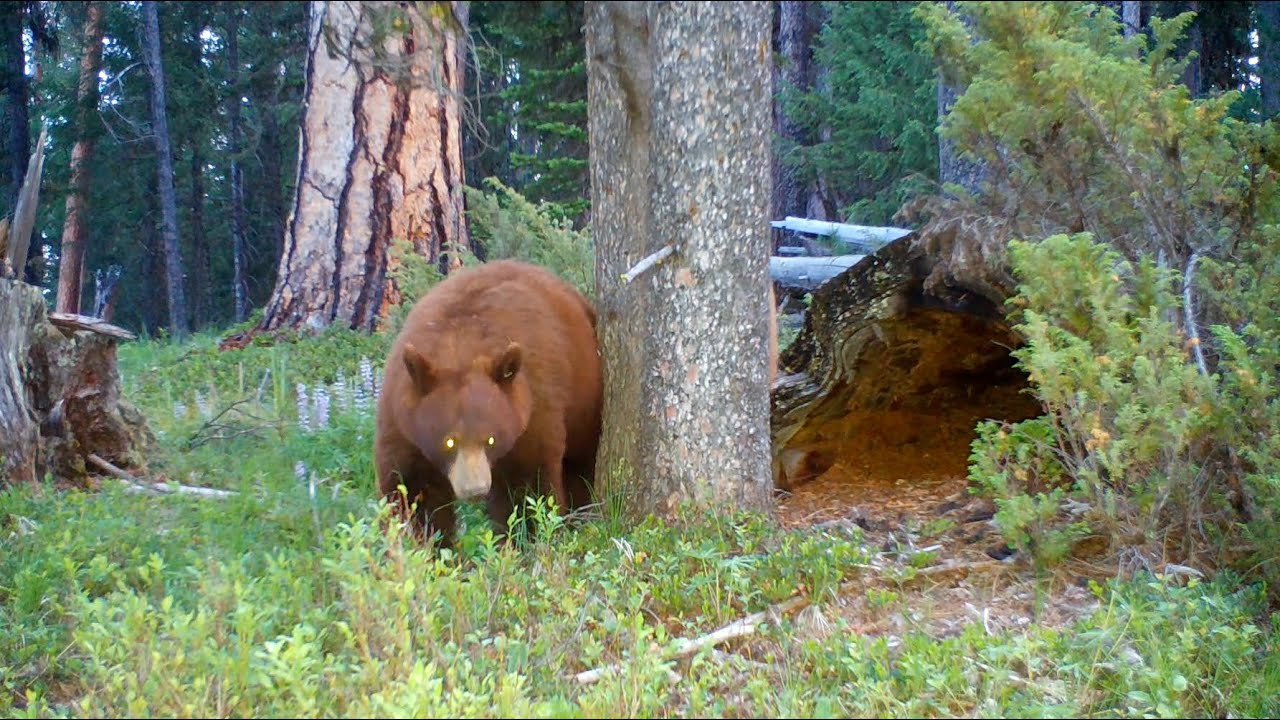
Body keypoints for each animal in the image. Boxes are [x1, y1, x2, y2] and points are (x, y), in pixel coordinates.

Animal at [373, 259, 603, 548]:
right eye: (449, 441)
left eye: (491, 439)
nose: (475, 490)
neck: (459, 347)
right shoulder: (402, 421)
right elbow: (412, 490)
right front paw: (424, 544)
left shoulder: (532, 409)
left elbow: (526, 487)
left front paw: (526, 539)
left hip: (583, 401)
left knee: (579, 465)